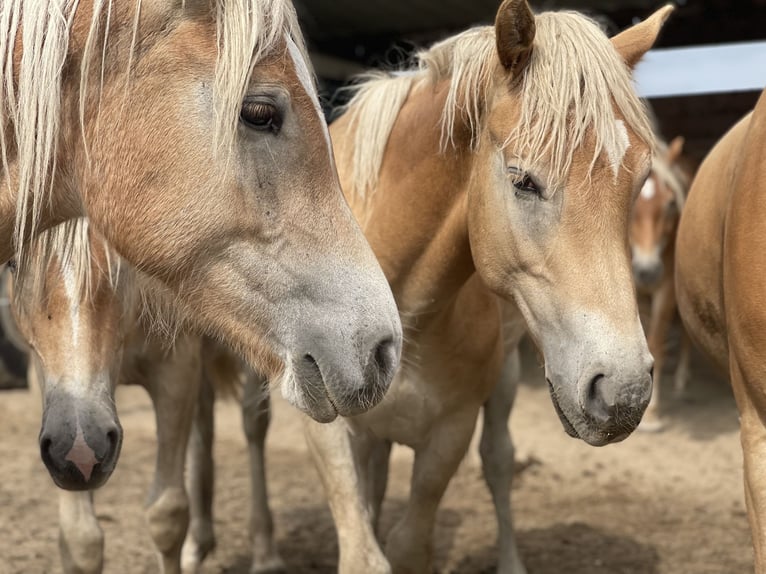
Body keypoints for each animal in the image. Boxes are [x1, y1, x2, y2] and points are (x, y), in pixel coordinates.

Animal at [304, 2, 672, 572]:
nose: (625, 391)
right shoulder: (327, 428)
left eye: (638, 183)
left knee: (499, 463)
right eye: (523, 181)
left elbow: (410, 544)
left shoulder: (451, 431)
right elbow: (365, 549)